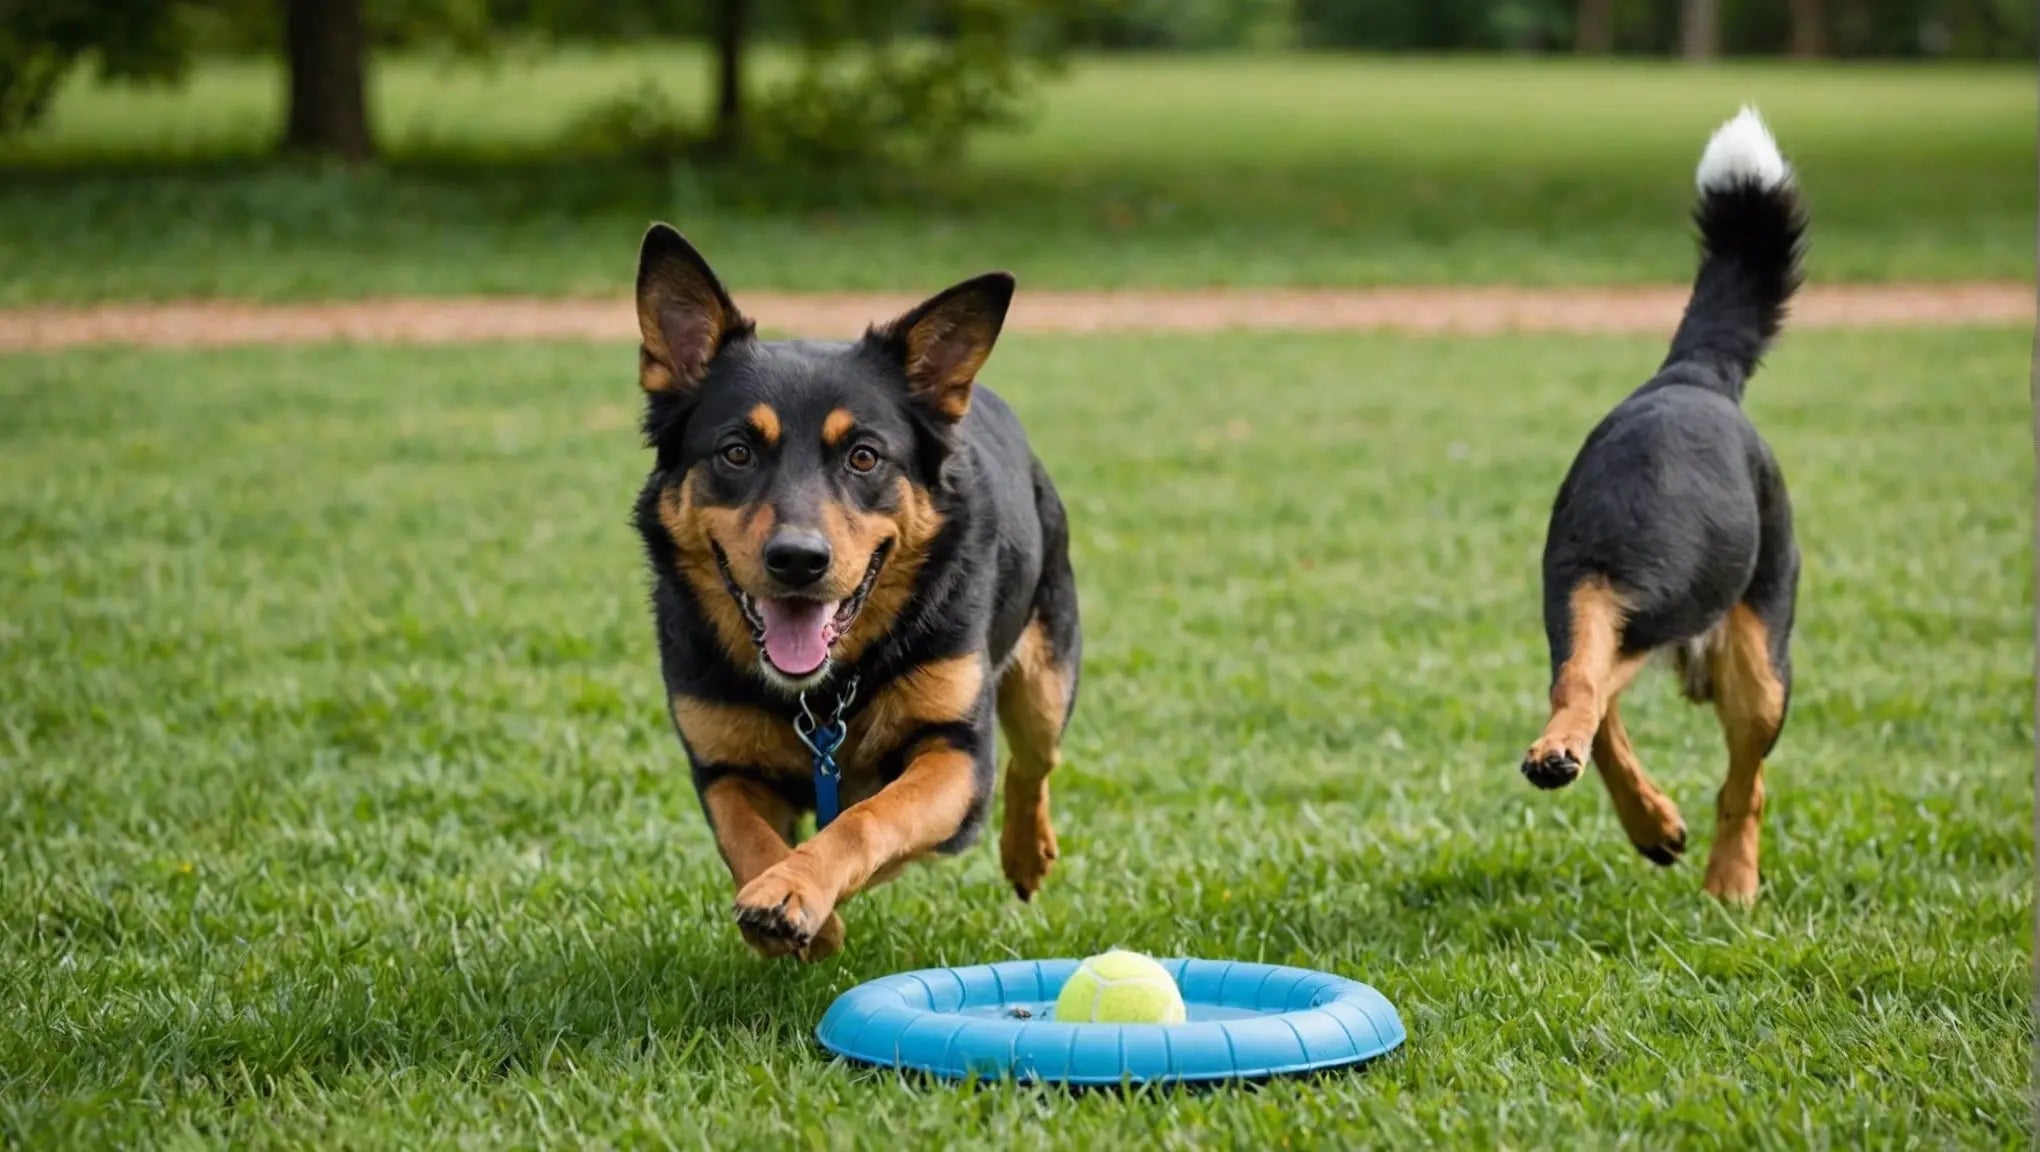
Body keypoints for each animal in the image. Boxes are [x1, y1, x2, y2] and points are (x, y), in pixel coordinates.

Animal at [632, 220, 1085, 958]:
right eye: (736, 452)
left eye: (864, 457)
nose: (798, 560)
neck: (822, 692)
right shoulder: (722, 766)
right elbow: (745, 840)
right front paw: (790, 907)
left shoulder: (956, 756)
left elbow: (870, 818)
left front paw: (800, 888)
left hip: (1046, 675)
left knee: (1033, 763)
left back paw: (1026, 852)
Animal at [1525, 108, 1811, 901]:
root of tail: (1695, 373)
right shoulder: (1586, 606)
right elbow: (1588, 698)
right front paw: (1648, 819)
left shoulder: (1604, 609)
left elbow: (1587, 695)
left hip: (1759, 673)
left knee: (1746, 784)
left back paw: (1730, 880)